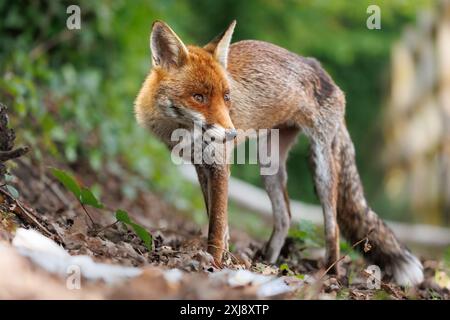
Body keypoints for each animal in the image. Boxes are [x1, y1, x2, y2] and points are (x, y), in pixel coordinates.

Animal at [135, 20, 424, 284]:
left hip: (321, 169)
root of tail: (318, 67)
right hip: (269, 166)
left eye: (227, 97)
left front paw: (214, 264)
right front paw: (225, 260)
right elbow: (221, 223)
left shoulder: (219, 166)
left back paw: (330, 274)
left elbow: (216, 226)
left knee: (332, 227)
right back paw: (268, 263)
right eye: (199, 97)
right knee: (285, 216)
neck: (179, 129)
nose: (232, 134)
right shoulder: (202, 167)